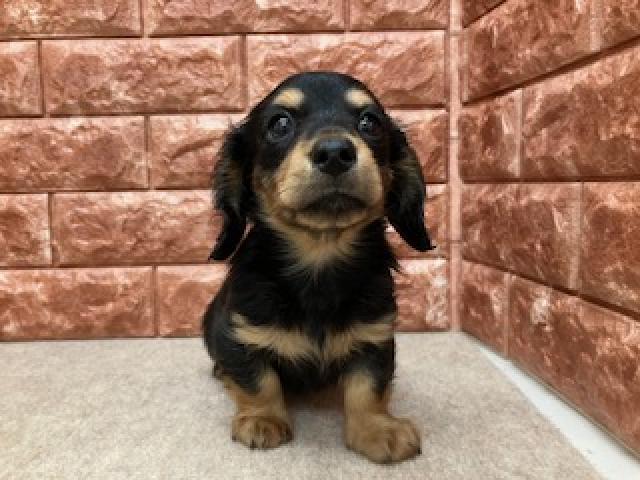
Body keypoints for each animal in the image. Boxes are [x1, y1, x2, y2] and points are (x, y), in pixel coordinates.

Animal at [203, 72, 434, 464]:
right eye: (280, 124)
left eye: (370, 123)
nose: (335, 153)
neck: (319, 257)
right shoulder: (240, 334)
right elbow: (258, 380)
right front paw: (263, 419)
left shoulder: (374, 337)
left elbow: (367, 388)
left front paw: (377, 429)